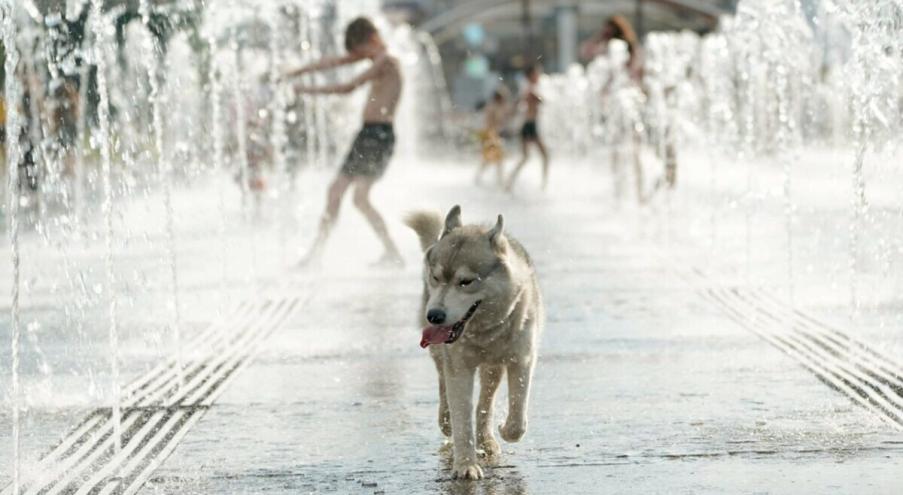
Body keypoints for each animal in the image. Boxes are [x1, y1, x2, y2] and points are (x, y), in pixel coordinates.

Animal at [408, 205, 548, 480]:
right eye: (436, 277)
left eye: (466, 281)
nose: (434, 316)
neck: (486, 331)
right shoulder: (459, 367)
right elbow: (462, 419)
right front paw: (465, 466)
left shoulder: (522, 360)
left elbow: (517, 418)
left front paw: (505, 430)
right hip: (442, 357)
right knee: (444, 387)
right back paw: (447, 420)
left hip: (493, 367)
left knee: (485, 402)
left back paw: (488, 439)